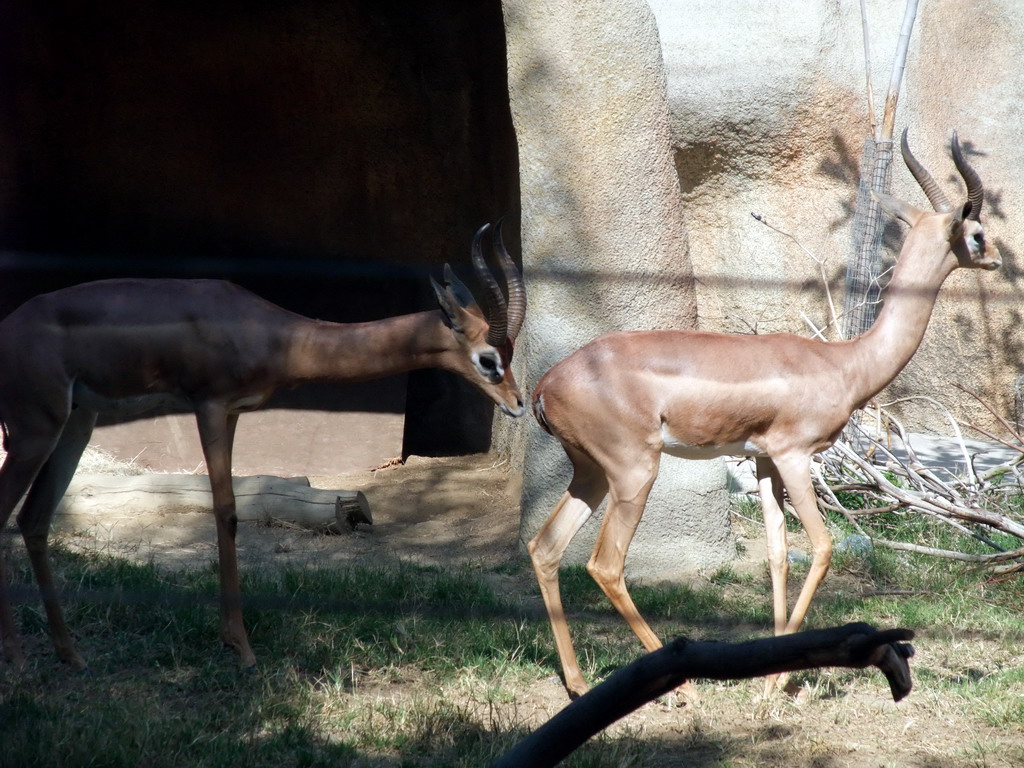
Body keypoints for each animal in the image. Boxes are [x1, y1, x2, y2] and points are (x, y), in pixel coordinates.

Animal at [0, 219, 524, 671]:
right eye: (488, 358)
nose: (518, 404)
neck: (273, 333)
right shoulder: (209, 406)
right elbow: (226, 509)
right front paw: (243, 647)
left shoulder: (232, 412)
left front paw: (231, 640)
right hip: (34, 431)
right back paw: (20, 662)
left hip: (76, 423)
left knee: (33, 519)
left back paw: (71, 655)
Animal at [528, 134, 999, 704]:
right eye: (976, 231)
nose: (997, 259)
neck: (844, 362)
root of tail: (546, 385)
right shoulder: (795, 457)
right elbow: (821, 547)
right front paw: (777, 681)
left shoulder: (765, 462)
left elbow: (777, 554)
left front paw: (772, 674)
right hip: (633, 472)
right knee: (606, 564)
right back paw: (681, 687)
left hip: (590, 474)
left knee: (545, 548)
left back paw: (577, 684)